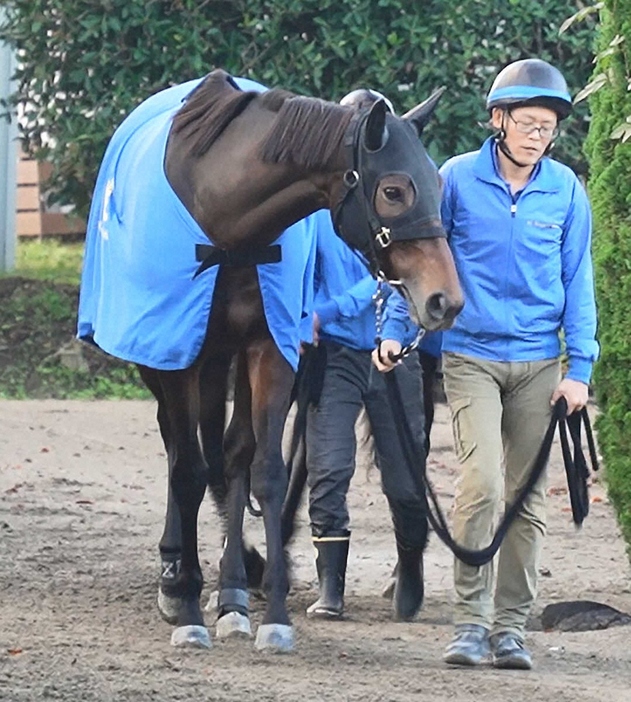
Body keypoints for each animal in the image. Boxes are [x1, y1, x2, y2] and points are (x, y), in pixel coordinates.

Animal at [78, 69, 464, 656]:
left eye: (439, 188)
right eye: (393, 190)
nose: (445, 300)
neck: (223, 220)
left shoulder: (269, 348)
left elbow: (265, 471)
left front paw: (271, 616)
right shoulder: (175, 350)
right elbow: (187, 470)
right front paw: (187, 604)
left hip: (225, 356)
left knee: (232, 452)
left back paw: (234, 592)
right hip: (169, 359)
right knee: (178, 448)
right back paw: (177, 573)